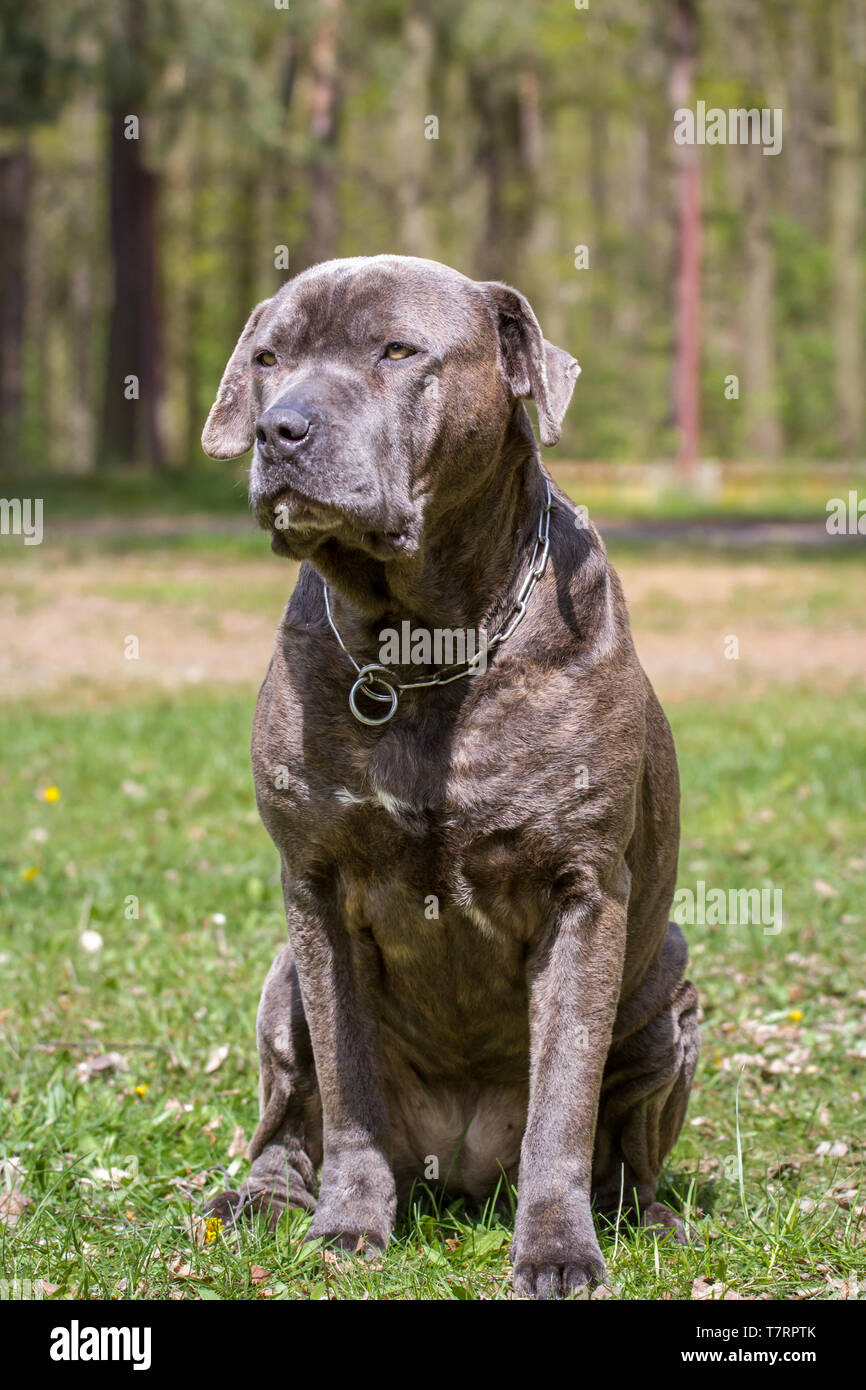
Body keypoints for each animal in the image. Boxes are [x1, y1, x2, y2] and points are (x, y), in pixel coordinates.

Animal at [200, 252, 700, 1301]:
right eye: (268, 359)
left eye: (397, 351)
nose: (279, 430)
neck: (427, 644)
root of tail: (461, 1173)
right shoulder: (316, 891)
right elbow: (347, 1083)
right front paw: (349, 1225)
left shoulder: (583, 893)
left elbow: (563, 1105)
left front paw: (556, 1251)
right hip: (278, 986)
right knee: (285, 1127)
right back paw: (258, 1201)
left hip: (670, 990)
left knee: (626, 1153)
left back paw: (647, 1219)